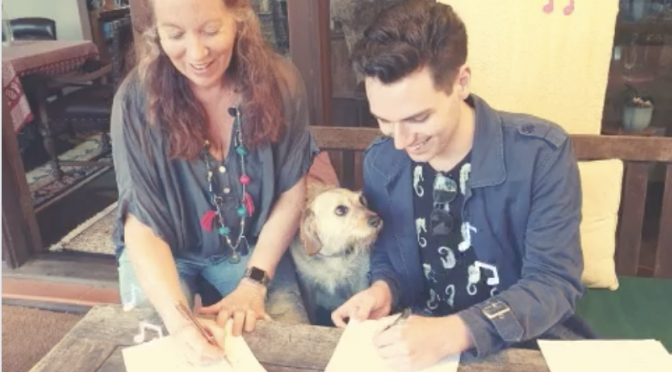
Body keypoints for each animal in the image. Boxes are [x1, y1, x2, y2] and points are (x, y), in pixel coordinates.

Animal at [288, 182, 384, 326]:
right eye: (340, 210)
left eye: (361, 200)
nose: (377, 220)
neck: (334, 255)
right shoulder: (307, 285)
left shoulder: (359, 281)